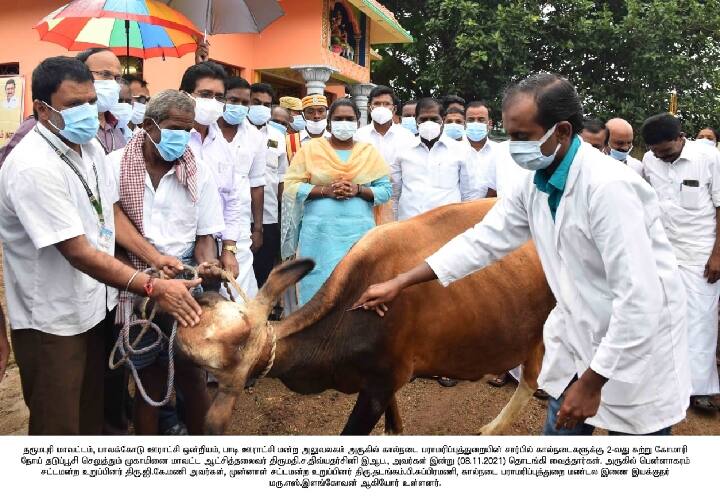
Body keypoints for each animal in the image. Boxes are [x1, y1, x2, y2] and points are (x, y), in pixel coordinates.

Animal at [176, 199, 556, 436]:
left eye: (237, 340)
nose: (199, 292)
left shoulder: (381, 383)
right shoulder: (383, 381)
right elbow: (395, 427)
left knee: (534, 380)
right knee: (531, 377)